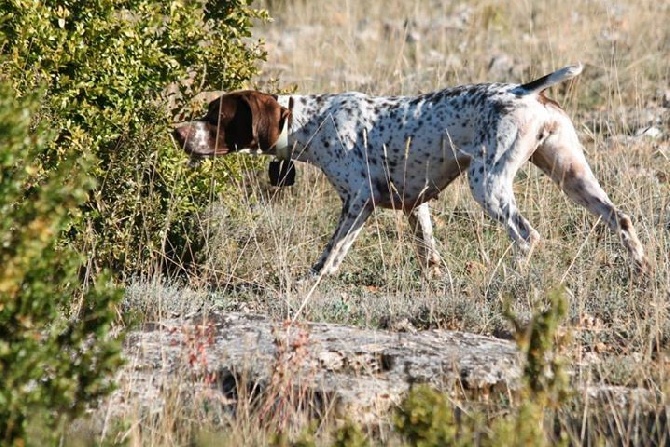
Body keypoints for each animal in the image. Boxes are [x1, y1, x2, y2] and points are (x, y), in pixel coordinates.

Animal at [173, 64, 652, 276]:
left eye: (214, 116)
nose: (177, 133)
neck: (312, 120)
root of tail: (525, 90)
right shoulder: (414, 205)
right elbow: (428, 250)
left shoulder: (358, 202)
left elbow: (331, 253)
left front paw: (314, 279)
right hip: (571, 175)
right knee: (620, 217)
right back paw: (640, 267)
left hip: (488, 183)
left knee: (526, 236)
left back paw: (508, 278)